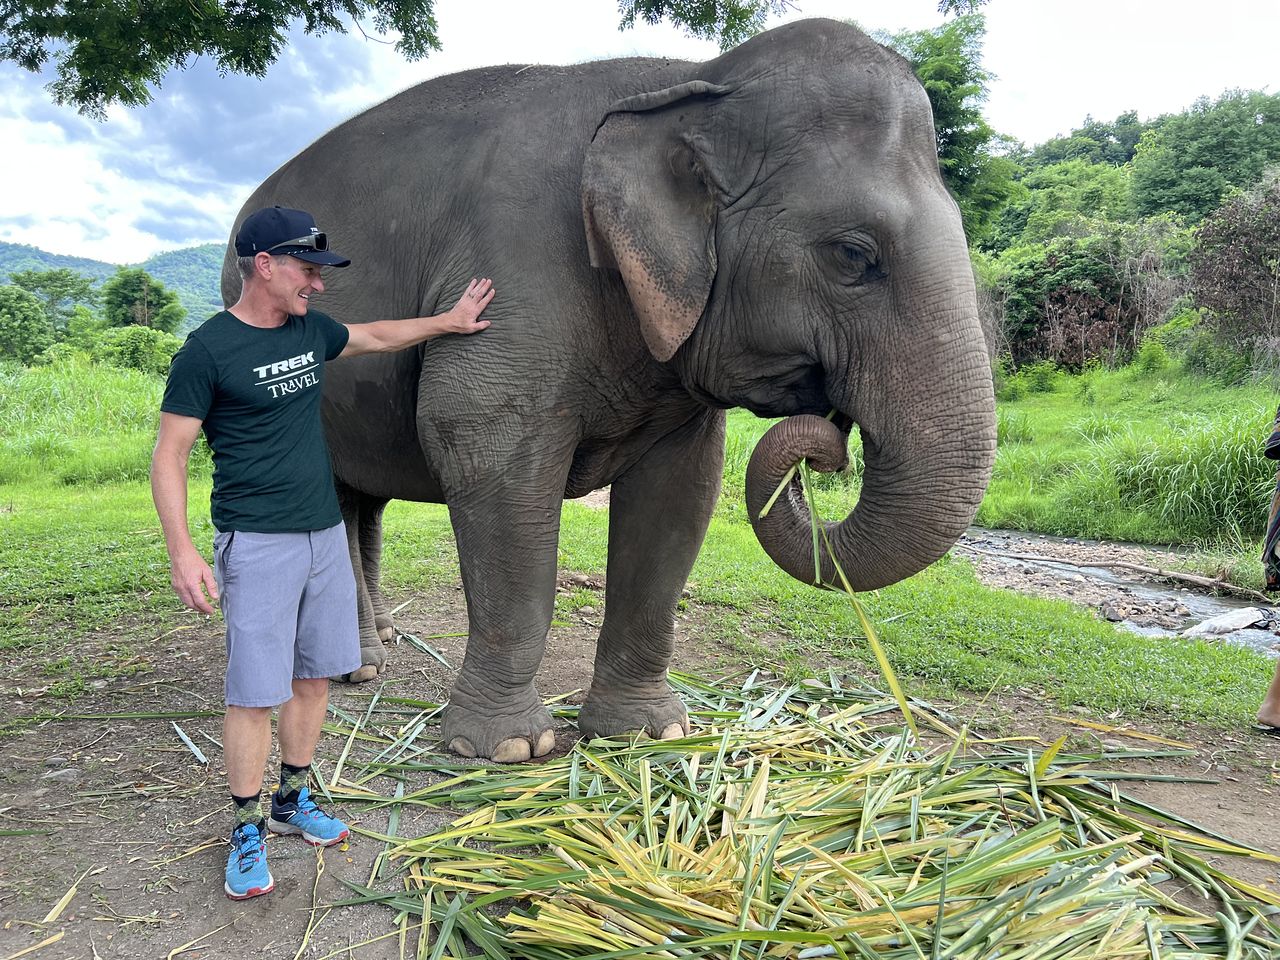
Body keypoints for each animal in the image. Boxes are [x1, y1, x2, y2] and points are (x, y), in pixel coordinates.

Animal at [221, 18, 997, 762]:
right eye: (853, 255)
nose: (829, 441)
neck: (692, 79)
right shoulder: (513, 275)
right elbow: (488, 456)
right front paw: (505, 748)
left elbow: (679, 495)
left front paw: (645, 734)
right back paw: (352, 669)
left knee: (363, 501)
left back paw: (374, 650)